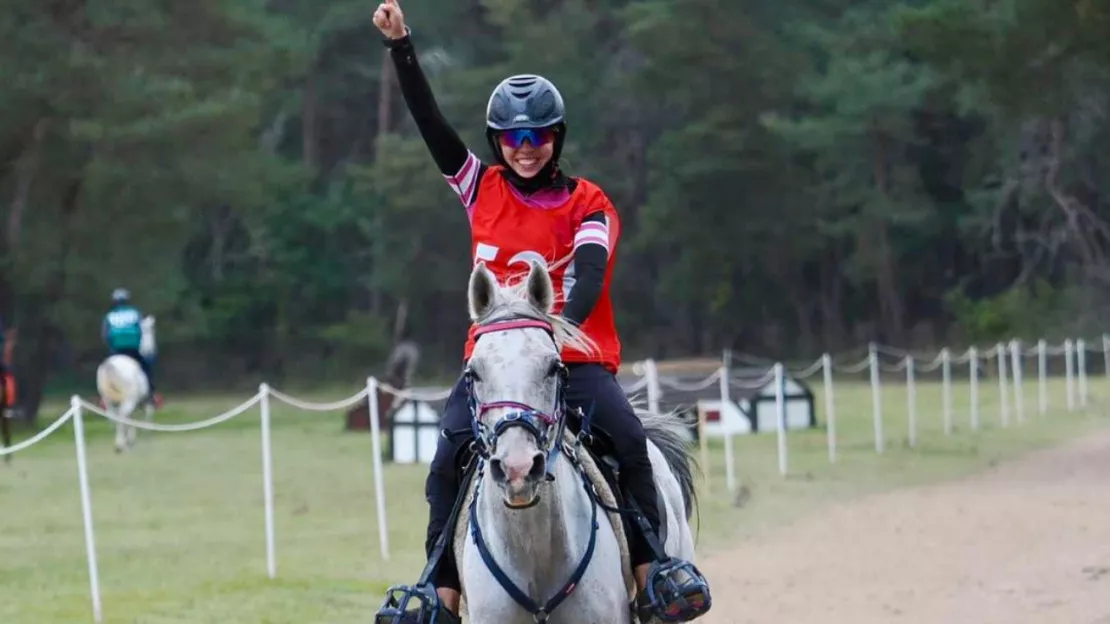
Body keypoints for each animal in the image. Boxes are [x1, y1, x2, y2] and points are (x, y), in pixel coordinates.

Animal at [96, 313, 157, 448]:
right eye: (151, 331)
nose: (151, 351)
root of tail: (110, 365)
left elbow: (130, 418)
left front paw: (130, 437)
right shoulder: (145, 398)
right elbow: (147, 412)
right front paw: (144, 432)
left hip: (107, 399)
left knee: (113, 415)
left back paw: (121, 441)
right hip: (130, 399)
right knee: (122, 415)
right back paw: (120, 444)